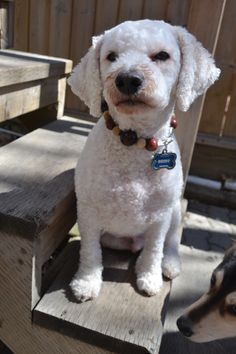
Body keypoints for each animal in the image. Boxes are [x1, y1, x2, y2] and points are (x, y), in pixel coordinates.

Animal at [67, 20, 220, 302]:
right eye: (111, 56)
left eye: (162, 56)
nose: (127, 79)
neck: (133, 141)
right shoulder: (88, 211)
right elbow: (90, 250)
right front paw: (86, 282)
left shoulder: (160, 216)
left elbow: (154, 248)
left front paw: (150, 277)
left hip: (173, 212)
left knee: (169, 243)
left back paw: (168, 264)